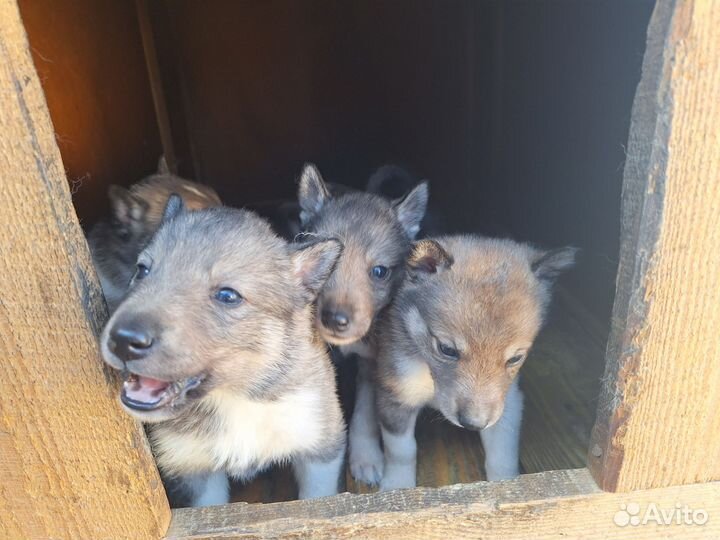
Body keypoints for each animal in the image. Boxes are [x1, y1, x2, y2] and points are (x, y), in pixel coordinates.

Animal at [100, 196, 346, 508]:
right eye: (142, 270)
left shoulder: (320, 444)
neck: (233, 398)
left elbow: (317, 497)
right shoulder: (195, 470)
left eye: (228, 296)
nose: (122, 340)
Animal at [296, 163, 430, 486]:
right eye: (327, 263)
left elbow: (364, 415)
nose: (335, 319)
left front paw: (366, 457)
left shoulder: (373, 364)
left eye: (379, 272)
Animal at [368, 236, 576, 490]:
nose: (473, 424)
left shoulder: (508, 402)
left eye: (515, 358)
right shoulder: (396, 394)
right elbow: (402, 450)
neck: (432, 380)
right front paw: (397, 487)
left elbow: (502, 454)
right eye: (447, 349)